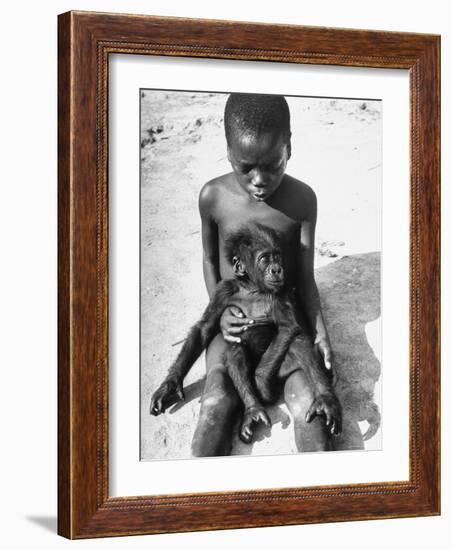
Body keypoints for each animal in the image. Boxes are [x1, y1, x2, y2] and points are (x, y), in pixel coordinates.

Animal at [150, 223, 340, 444]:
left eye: (277, 257)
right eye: (265, 259)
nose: (277, 269)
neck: (252, 288)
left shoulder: (280, 292)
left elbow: (288, 327)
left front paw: (261, 379)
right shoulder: (223, 290)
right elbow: (204, 328)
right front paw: (170, 384)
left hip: (283, 368)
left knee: (297, 341)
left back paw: (324, 398)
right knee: (235, 351)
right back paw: (253, 410)